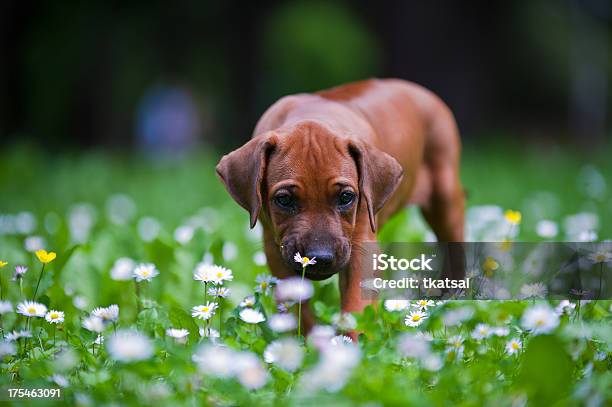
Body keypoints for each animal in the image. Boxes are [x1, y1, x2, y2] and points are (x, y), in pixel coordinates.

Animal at [218, 79, 462, 334]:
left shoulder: (361, 248)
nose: (320, 257)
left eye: (346, 197)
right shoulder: (275, 251)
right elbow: (297, 308)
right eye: (284, 200)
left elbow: (356, 308)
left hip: (446, 198)